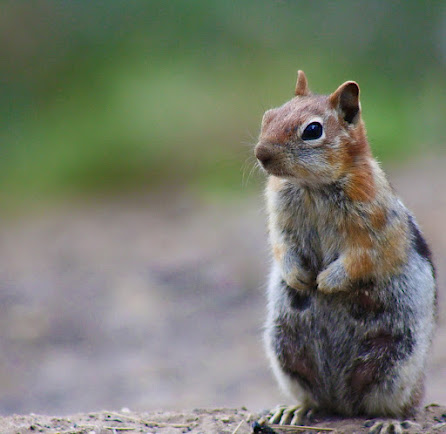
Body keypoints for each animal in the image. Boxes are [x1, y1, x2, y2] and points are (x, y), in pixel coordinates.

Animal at [256, 72, 438, 434]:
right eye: (268, 116)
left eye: (313, 130)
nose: (260, 154)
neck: (312, 188)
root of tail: (342, 403)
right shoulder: (280, 220)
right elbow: (282, 246)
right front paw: (298, 276)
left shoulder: (374, 229)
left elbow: (361, 258)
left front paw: (326, 282)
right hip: (286, 348)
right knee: (313, 396)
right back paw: (294, 409)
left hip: (395, 361)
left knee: (398, 405)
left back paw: (386, 421)